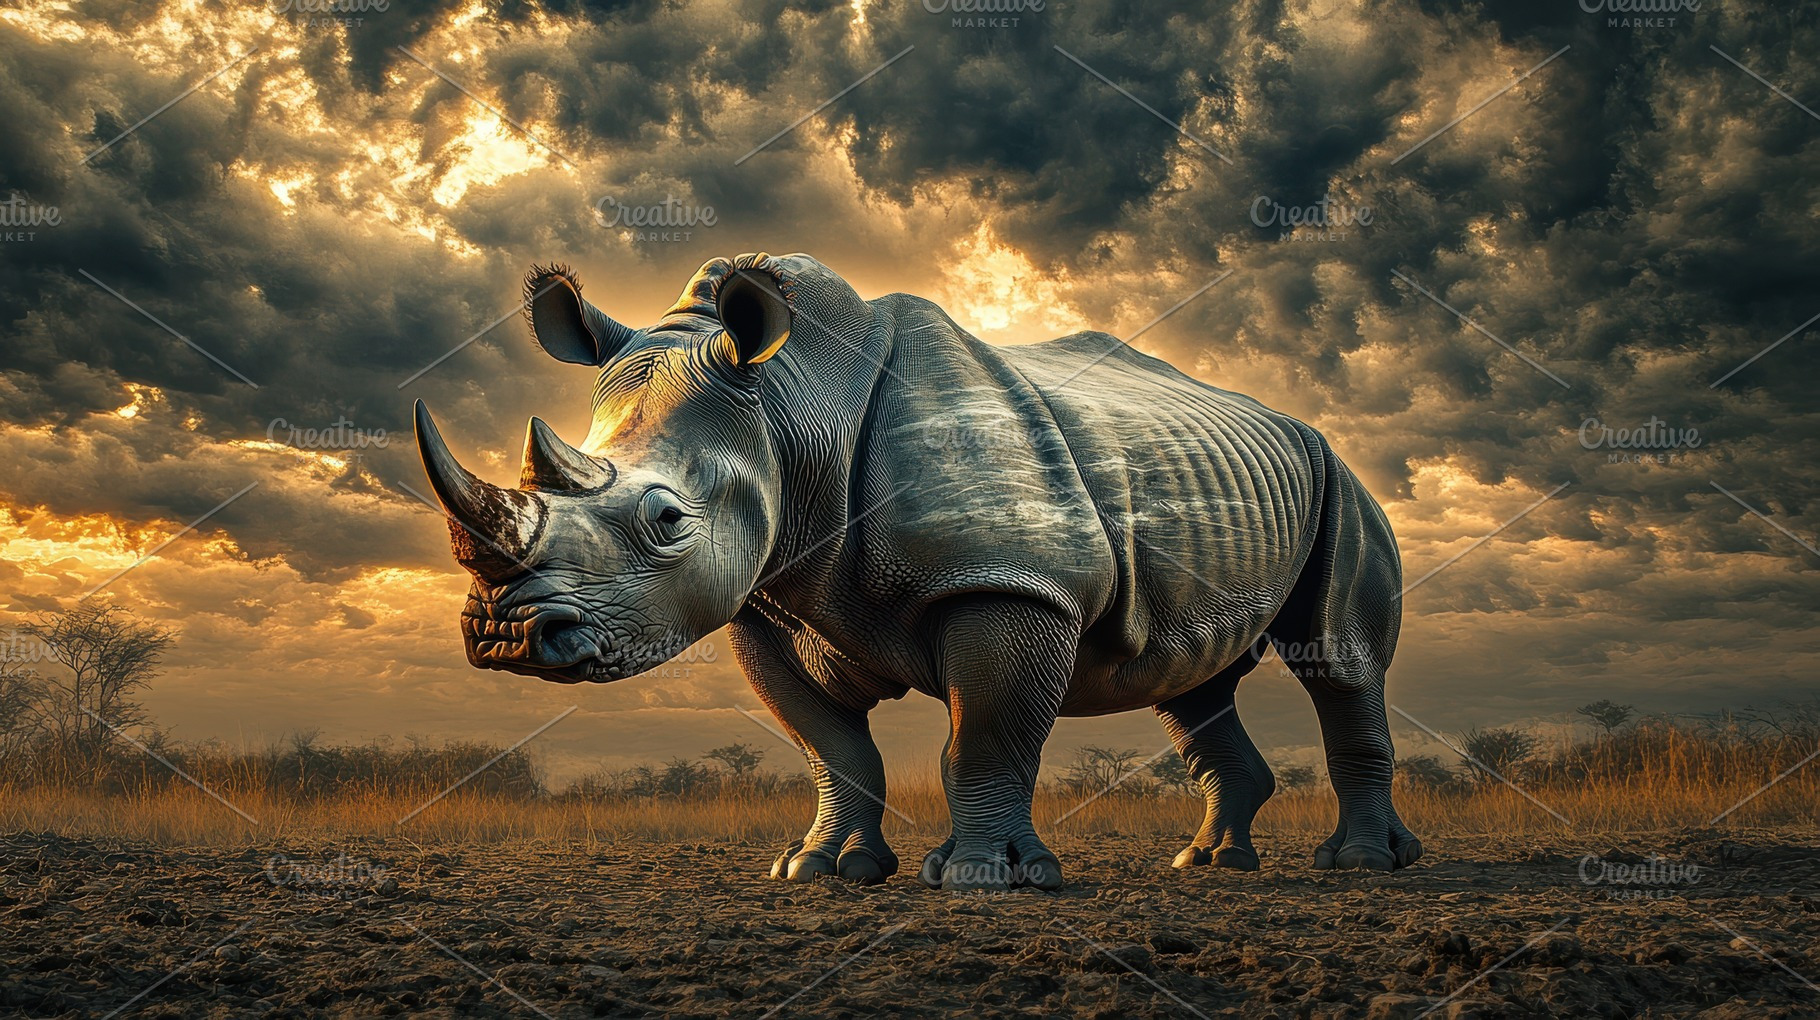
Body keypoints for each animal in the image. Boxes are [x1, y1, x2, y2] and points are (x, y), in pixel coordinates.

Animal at [413, 252, 1423, 891]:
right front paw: (821, 870)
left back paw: (1361, 866)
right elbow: (831, 745)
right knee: (1188, 679)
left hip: (1341, 480)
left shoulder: (1009, 579)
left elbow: (985, 734)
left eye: (666, 521)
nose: (506, 633)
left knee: (1338, 660)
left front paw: (985, 879)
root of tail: (1294, 423)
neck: (792, 410)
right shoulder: (765, 602)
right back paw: (1209, 866)